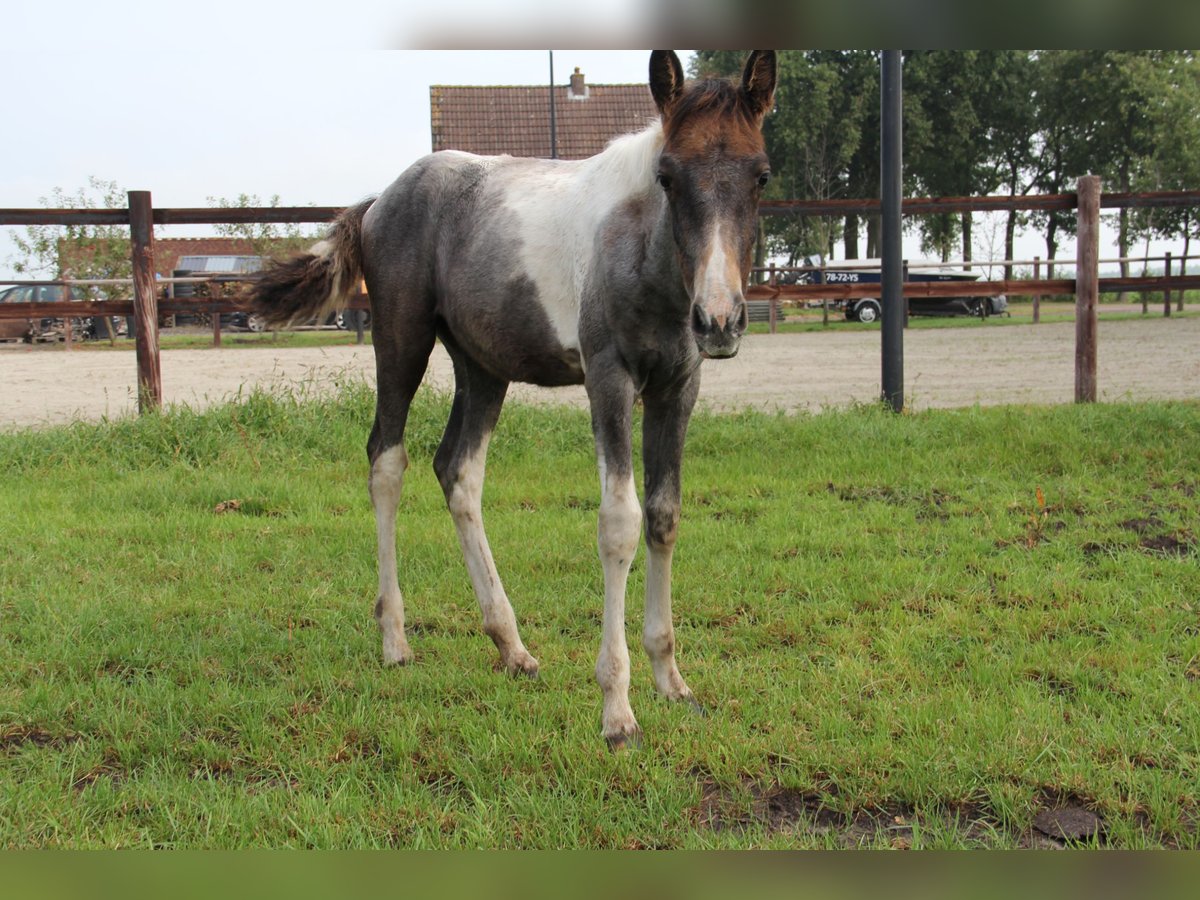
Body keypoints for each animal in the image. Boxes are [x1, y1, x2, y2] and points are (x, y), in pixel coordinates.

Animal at [255, 51, 777, 753]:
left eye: (761, 175)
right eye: (667, 176)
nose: (719, 320)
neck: (645, 254)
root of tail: (379, 200)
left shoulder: (678, 386)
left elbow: (664, 516)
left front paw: (673, 683)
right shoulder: (608, 379)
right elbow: (619, 523)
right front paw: (617, 711)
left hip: (481, 369)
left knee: (457, 471)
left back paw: (512, 647)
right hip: (401, 341)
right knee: (387, 460)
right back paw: (395, 640)